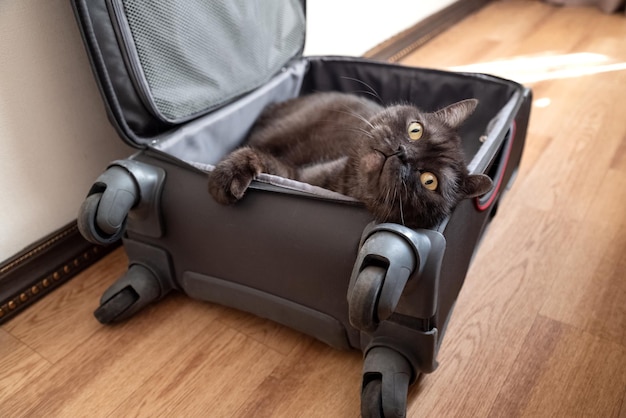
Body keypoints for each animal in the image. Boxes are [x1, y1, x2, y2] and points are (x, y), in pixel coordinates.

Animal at [207, 92, 490, 229]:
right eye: (415, 130)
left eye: (429, 181)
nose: (402, 153)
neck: (348, 185)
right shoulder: (299, 174)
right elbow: (263, 159)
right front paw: (229, 173)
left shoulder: (295, 175)